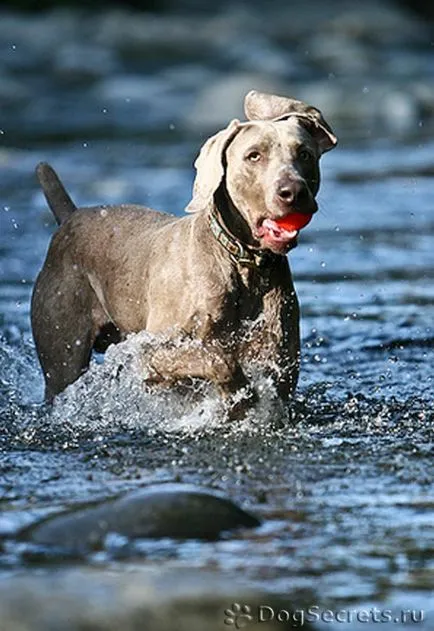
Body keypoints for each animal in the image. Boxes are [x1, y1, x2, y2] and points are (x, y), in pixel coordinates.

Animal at [31, 87, 336, 414]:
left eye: (304, 154)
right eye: (253, 155)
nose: (294, 191)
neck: (242, 264)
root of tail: (71, 216)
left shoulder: (281, 362)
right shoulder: (152, 354)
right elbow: (217, 359)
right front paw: (240, 395)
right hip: (62, 355)